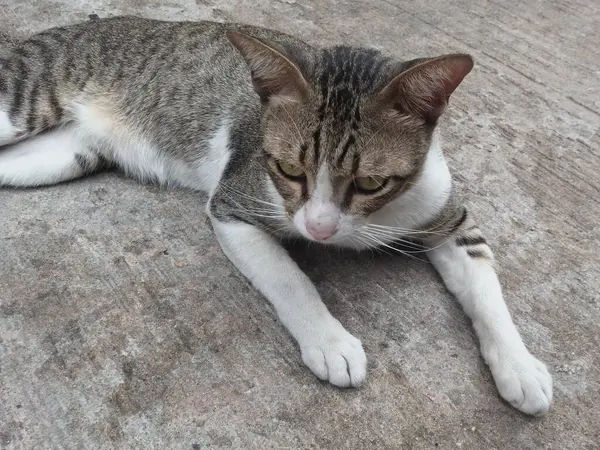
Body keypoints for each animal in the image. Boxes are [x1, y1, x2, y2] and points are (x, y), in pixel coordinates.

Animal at [0, 14, 552, 414]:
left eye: (371, 183)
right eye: (288, 169)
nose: (319, 229)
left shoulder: (450, 217)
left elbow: (487, 292)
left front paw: (520, 366)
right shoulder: (232, 204)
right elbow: (289, 278)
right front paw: (329, 340)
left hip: (66, 155)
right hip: (22, 102)